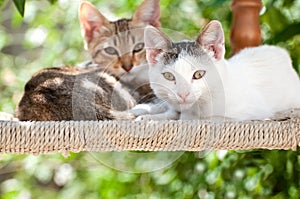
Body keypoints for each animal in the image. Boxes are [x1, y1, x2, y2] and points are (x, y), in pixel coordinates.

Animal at [133, 20, 300, 120]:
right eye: (168, 76)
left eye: (199, 74)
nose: (183, 94)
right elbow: (171, 112)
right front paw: (148, 116)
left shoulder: (252, 110)